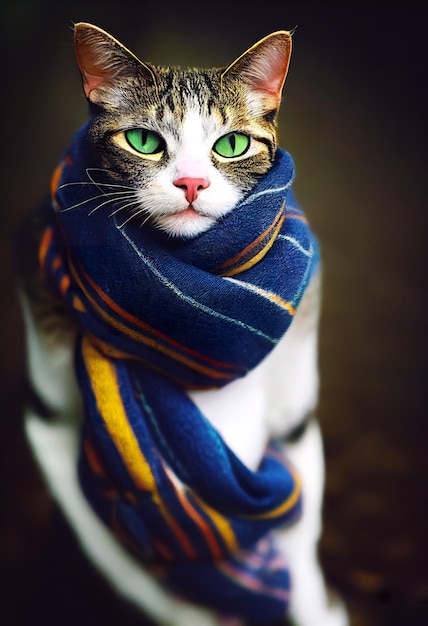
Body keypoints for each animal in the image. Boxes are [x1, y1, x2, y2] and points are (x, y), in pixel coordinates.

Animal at [18, 22, 350, 620]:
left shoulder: (295, 415)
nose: (192, 183)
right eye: (144, 141)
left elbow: (300, 543)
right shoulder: (48, 416)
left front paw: (314, 610)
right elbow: (126, 557)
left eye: (232, 144)